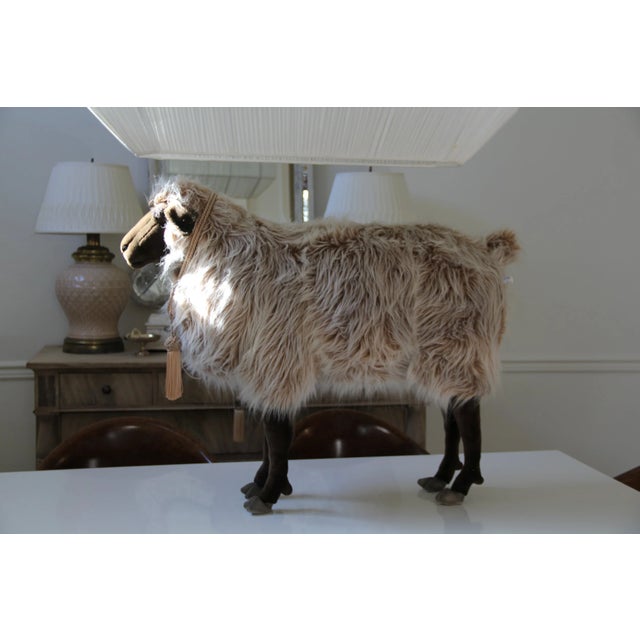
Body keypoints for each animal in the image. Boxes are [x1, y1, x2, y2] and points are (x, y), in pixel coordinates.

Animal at [121, 178, 520, 515]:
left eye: (159, 217)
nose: (124, 247)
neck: (233, 255)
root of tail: (486, 250)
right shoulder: (267, 366)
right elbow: (269, 433)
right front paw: (264, 485)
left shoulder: (277, 360)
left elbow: (277, 434)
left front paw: (268, 493)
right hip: (443, 355)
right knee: (453, 415)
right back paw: (439, 478)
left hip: (459, 346)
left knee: (468, 417)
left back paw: (462, 484)